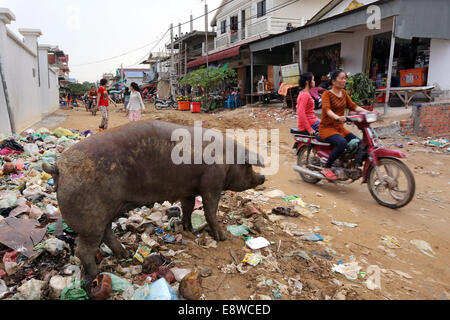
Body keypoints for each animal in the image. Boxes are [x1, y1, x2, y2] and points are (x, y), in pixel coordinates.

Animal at [43, 121, 264, 278]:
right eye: (249, 166)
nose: (263, 177)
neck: (228, 160)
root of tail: (58, 167)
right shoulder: (212, 184)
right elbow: (210, 210)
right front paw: (222, 238)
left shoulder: (188, 189)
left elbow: (188, 207)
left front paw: (189, 230)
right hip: (91, 218)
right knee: (83, 249)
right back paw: (97, 275)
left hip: (106, 213)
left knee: (106, 233)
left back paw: (125, 255)